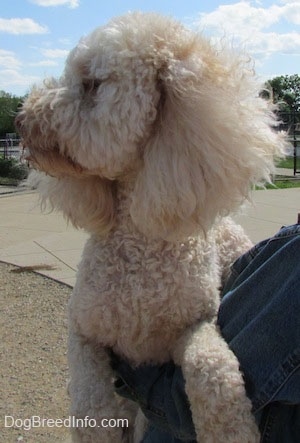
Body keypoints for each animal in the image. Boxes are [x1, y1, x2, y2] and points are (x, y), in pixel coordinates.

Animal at [15, 12, 286, 442]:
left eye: (91, 84)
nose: (20, 120)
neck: (139, 246)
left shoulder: (194, 324)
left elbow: (212, 367)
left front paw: (231, 429)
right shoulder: (83, 329)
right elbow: (91, 404)